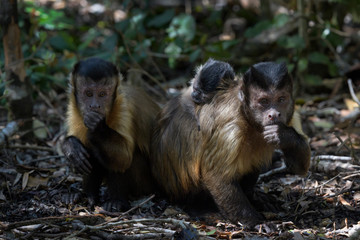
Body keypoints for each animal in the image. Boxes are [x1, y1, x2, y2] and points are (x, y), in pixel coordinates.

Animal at [61, 57, 159, 210]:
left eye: (102, 94)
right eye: (88, 93)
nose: (95, 106)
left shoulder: (124, 106)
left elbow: (124, 156)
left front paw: (97, 127)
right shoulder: (73, 107)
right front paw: (71, 147)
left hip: (147, 185)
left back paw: (116, 200)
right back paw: (87, 195)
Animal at [150, 61, 310, 228]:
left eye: (281, 99)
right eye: (264, 101)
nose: (274, 114)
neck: (248, 118)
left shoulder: (291, 115)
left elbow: (298, 168)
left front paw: (284, 135)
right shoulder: (231, 125)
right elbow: (216, 177)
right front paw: (256, 223)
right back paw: (200, 208)